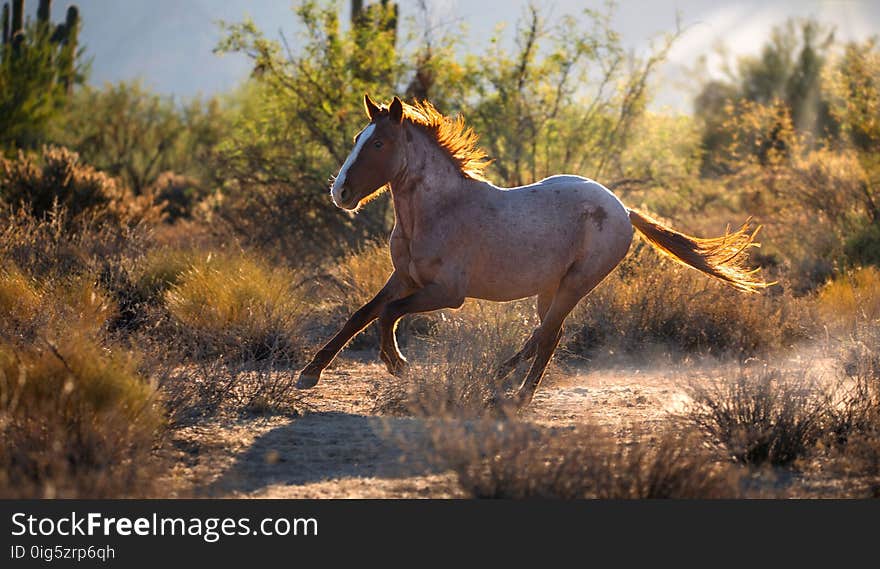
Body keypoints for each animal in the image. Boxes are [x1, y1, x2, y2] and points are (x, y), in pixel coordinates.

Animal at [294, 94, 764, 404]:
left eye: (378, 143)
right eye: (359, 136)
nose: (340, 192)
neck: (437, 211)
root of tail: (623, 210)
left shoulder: (447, 293)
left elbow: (387, 315)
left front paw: (398, 364)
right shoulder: (404, 278)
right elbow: (361, 314)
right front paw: (309, 373)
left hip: (577, 283)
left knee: (549, 332)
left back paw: (508, 386)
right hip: (549, 288)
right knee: (548, 333)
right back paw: (508, 383)